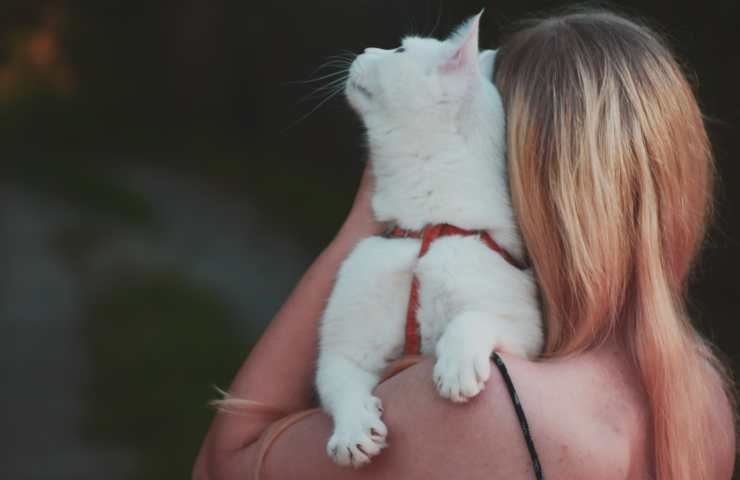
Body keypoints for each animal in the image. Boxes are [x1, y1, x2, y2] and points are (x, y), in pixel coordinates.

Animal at [314, 12, 544, 468]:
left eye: (400, 49)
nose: (365, 49)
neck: (427, 230)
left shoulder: (528, 330)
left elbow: (473, 316)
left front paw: (457, 365)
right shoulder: (343, 349)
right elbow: (341, 384)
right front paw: (352, 431)